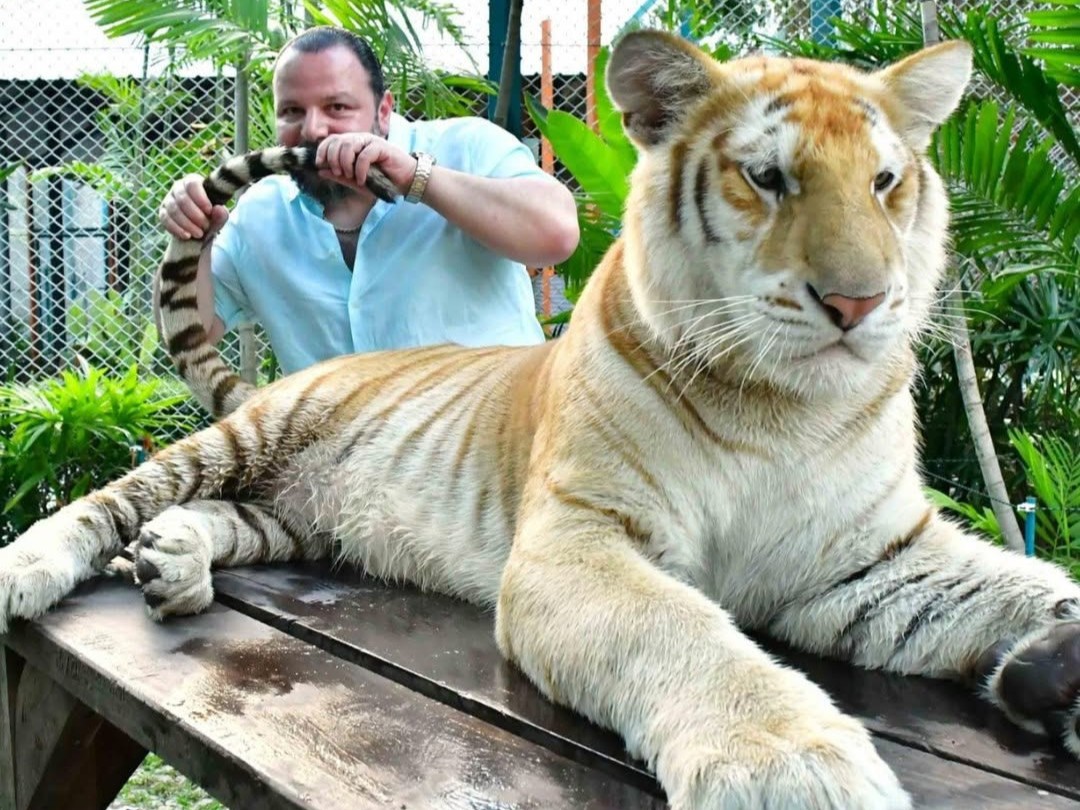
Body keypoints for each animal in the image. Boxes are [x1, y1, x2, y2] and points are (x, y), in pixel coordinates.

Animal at [3, 30, 1080, 809]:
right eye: (768, 177)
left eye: (886, 182)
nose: (861, 302)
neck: (785, 407)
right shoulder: (578, 543)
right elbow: (685, 633)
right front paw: (793, 769)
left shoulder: (862, 562)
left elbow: (1019, 585)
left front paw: (1054, 663)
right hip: (242, 439)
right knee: (110, 500)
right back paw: (30, 570)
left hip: (298, 516)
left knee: (213, 519)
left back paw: (172, 565)